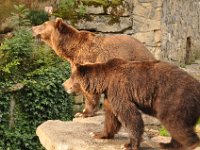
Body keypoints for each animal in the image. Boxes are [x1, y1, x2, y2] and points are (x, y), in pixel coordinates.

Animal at [66, 58, 200, 150]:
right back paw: (167, 144)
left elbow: (129, 115)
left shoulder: (119, 89)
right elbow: (111, 117)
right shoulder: (109, 95)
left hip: (174, 98)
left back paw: (190, 144)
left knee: (174, 122)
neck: (105, 81)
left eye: (71, 77)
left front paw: (129, 144)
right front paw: (98, 134)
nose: (64, 85)